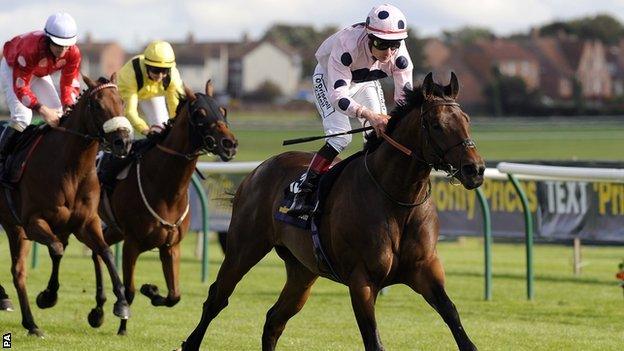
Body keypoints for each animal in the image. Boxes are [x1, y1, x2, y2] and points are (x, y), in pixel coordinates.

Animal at [0, 76, 132, 338]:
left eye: (122, 101)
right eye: (97, 105)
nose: (123, 142)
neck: (71, 169)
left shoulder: (86, 223)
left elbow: (105, 252)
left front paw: (119, 305)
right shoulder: (33, 222)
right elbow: (57, 249)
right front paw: (48, 296)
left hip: (13, 227)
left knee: (18, 272)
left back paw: (30, 323)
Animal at [94, 81, 236, 336]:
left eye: (223, 110)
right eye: (200, 113)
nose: (229, 144)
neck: (165, 189)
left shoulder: (171, 246)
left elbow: (174, 295)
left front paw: (151, 290)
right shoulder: (132, 243)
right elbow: (129, 290)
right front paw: (123, 326)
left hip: (114, 229)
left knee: (98, 252)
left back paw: (97, 311)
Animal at [183, 73, 486, 350]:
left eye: (467, 121)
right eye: (436, 125)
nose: (475, 169)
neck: (398, 200)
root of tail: (257, 171)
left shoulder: (426, 270)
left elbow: (455, 320)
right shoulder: (362, 281)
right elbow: (373, 340)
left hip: (302, 270)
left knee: (274, 319)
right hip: (244, 249)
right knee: (217, 298)